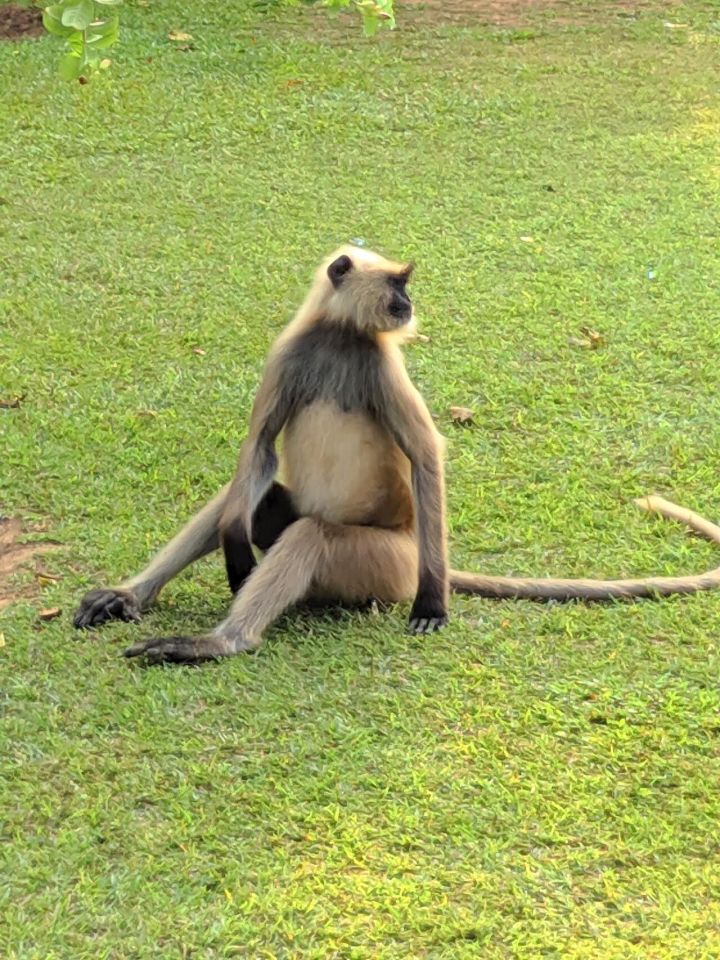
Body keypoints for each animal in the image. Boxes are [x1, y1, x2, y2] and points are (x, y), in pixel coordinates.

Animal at [73, 245, 720, 664]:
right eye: (398, 285)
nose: (409, 304)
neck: (340, 337)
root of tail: (413, 551)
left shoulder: (381, 362)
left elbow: (425, 455)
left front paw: (434, 601)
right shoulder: (289, 352)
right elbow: (256, 451)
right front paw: (233, 548)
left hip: (383, 565)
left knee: (312, 536)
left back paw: (222, 642)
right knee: (243, 501)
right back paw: (130, 597)